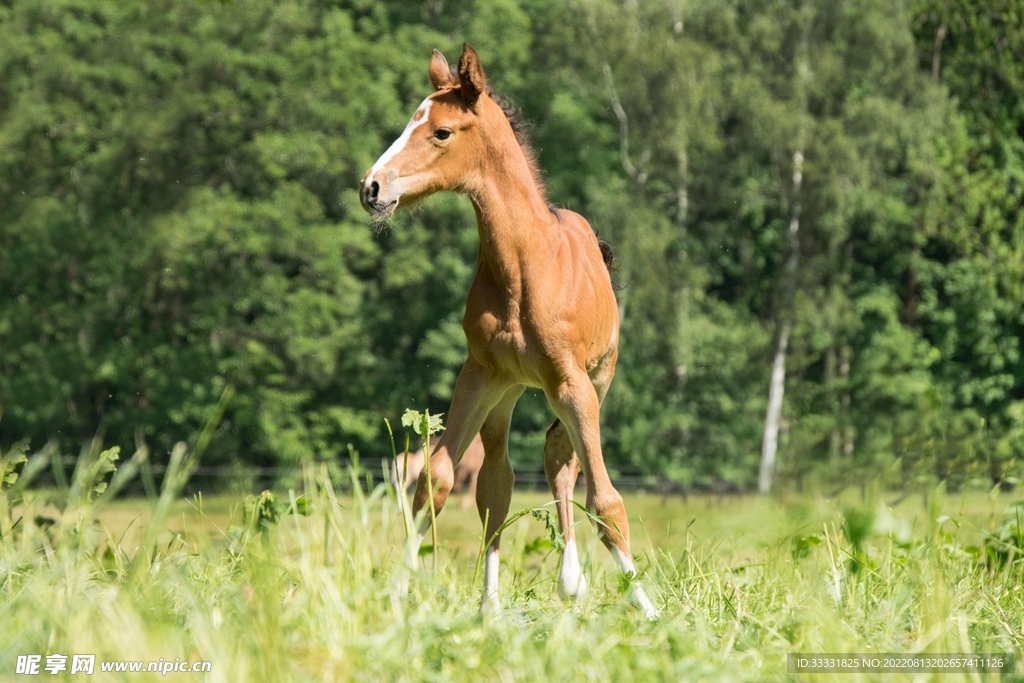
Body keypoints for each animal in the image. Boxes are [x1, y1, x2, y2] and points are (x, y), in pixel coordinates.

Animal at [360, 44, 656, 618]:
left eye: (441, 132)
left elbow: (606, 499)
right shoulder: (478, 374)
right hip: (508, 392)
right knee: (498, 483)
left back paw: (571, 581)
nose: (371, 188)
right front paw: (399, 593)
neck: (524, 265)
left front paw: (650, 610)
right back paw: (494, 604)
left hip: (595, 380)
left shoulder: (573, 383)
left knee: (562, 459)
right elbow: (437, 480)